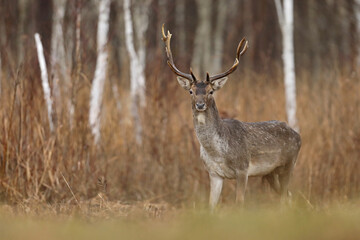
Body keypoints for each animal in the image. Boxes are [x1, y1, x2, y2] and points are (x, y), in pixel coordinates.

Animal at [161, 23, 300, 208]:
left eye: (211, 91)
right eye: (191, 91)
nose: (200, 105)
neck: (218, 153)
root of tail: (298, 135)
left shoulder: (243, 168)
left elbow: (239, 203)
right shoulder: (214, 173)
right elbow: (211, 206)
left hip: (289, 164)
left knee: (286, 196)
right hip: (270, 172)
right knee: (288, 195)